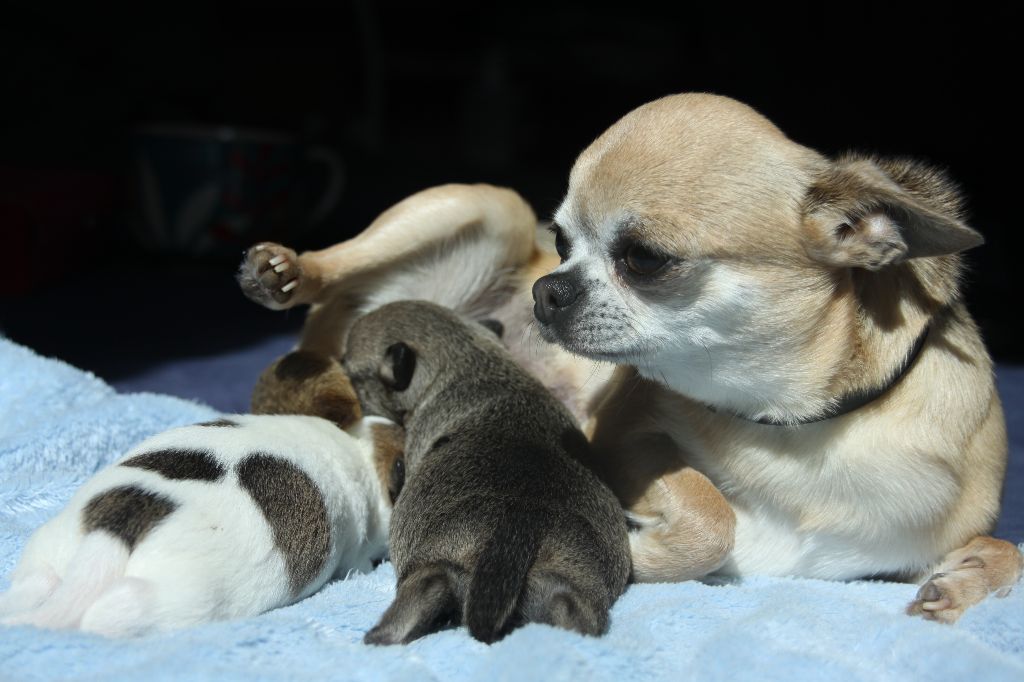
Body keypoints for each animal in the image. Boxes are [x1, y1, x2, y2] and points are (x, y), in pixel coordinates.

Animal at [0, 409, 403, 638]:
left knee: (39, 581)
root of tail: (109, 535)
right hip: (181, 597)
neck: (359, 447)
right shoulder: (357, 552)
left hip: (49, 545)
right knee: (113, 611)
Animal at [346, 301, 630, 638]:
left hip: (437, 563)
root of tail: (519, 527)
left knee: (427, 586)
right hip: (570, 579)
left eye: (348, 368)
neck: (469, 356)